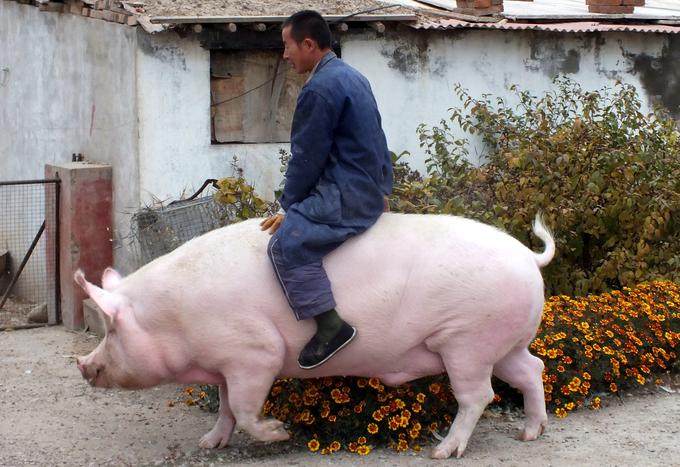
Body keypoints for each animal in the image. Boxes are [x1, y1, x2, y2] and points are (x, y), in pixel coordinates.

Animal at [75, 213, 552, 460]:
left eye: (111, 328)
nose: (83, 366)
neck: (175, 317)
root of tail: (528, 256)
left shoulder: (255, 352)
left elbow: (244, 408)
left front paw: (280, 432)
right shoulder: (226, 363)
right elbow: (225, 406)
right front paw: (208, 443)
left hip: (466, 341)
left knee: (479, 396)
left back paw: (443, 452)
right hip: (504, 343)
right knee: (533, 369)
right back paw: (529, 435)